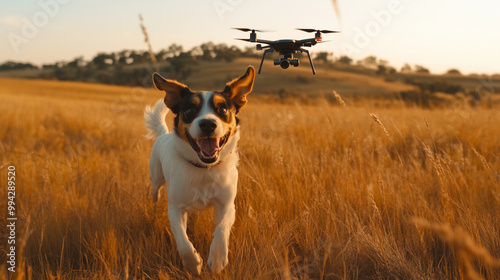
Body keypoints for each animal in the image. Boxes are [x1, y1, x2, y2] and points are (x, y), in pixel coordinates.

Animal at [144, 65, 254, 274]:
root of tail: (163, 134)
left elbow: (221, 229)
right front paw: (193, 264)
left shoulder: (227, 205)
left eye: (222, 109)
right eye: (190, 109)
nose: (208, 124)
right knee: (154, 195)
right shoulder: (175, 208)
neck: (204, 168)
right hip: (155, 180)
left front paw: (218, 258)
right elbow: (182, 240)